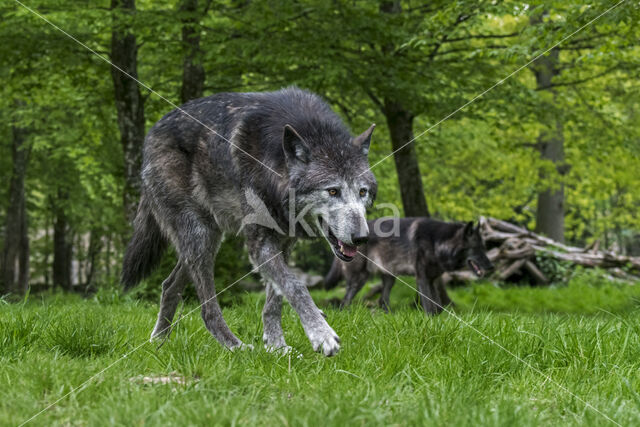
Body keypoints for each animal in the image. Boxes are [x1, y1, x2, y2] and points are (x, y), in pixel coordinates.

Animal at [120, 85, 376, 356]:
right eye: (333, 191)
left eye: (362, 192)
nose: (362, 238)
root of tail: (151, 135)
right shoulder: (259, 244)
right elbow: (295, 285)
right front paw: (321, 334)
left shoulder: (284, 243)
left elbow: (275, 299)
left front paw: (276, 346)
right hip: (200, 236)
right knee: (207, 308)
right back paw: (234, 346)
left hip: (207, 240)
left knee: (169, 285)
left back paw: (158, 342)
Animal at [324, 217, 496, 314]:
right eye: (476, 249)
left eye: (484, 248)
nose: (491, 267)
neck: (436, 243)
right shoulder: (422, 278)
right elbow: (429, 306)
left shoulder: (432, 280)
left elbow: (438, 306)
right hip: (359, 279)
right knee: (345, 301)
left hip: (389, 278)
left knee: (382, 301)